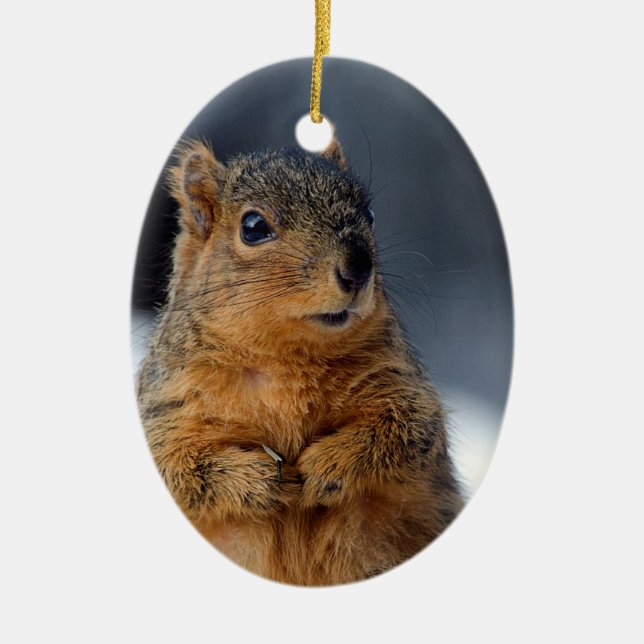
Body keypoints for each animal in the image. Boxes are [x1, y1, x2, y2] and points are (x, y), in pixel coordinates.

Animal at [136, 137, 464, 585]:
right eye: (253, 227)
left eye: (370, 215)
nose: (358, 269)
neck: (288, 360)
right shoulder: (169, 405)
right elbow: (177, 467)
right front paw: (258, 480)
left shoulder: (400, 382)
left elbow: (410, 431)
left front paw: (326, 466)